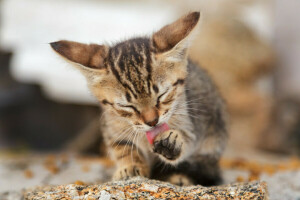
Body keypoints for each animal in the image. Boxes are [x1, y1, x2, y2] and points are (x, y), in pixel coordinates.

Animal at [50, 11, 227, 186]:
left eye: (162, 95)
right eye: (126, 106)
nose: (152, 121)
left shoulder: (191, 121)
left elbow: (188, 140)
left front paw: (173, 143)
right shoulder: (111, 125)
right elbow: (122, 146)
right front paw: (130, 166)